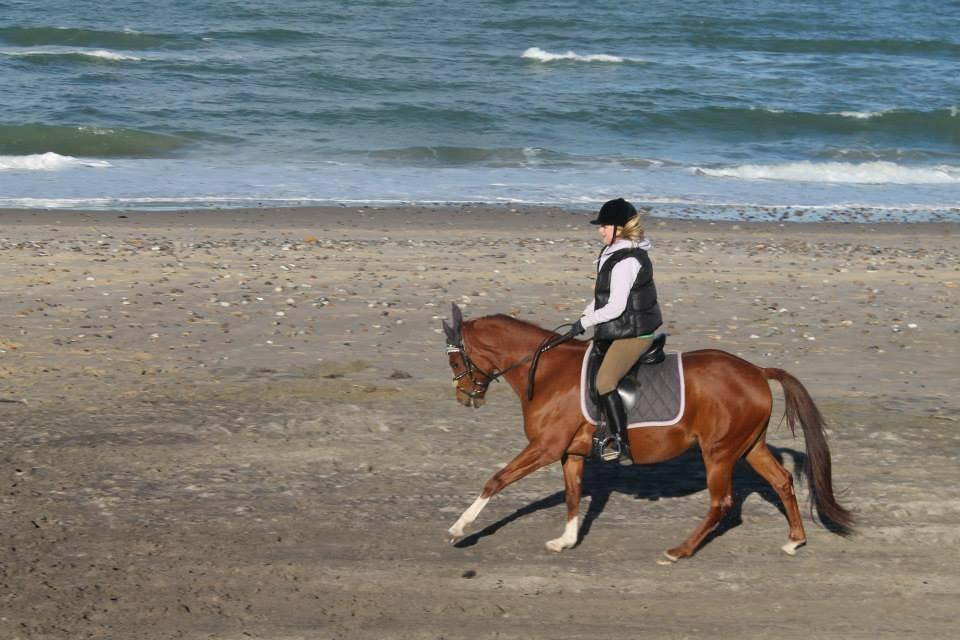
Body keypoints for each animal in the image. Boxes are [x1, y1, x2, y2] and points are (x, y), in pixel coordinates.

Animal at [442, 302, 856, 564]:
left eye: (455, 359)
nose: (464, 397)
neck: (546, 371)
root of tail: (756, 371)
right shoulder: (569, 452)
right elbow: (573, 495)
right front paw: (566, 540)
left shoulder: (545, 447)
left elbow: (496, 480)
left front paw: (459, 528)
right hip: (749, 446)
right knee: (782, 481)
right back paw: (794, 541)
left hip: (719, 453)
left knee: (721, 503)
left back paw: (679, 551)